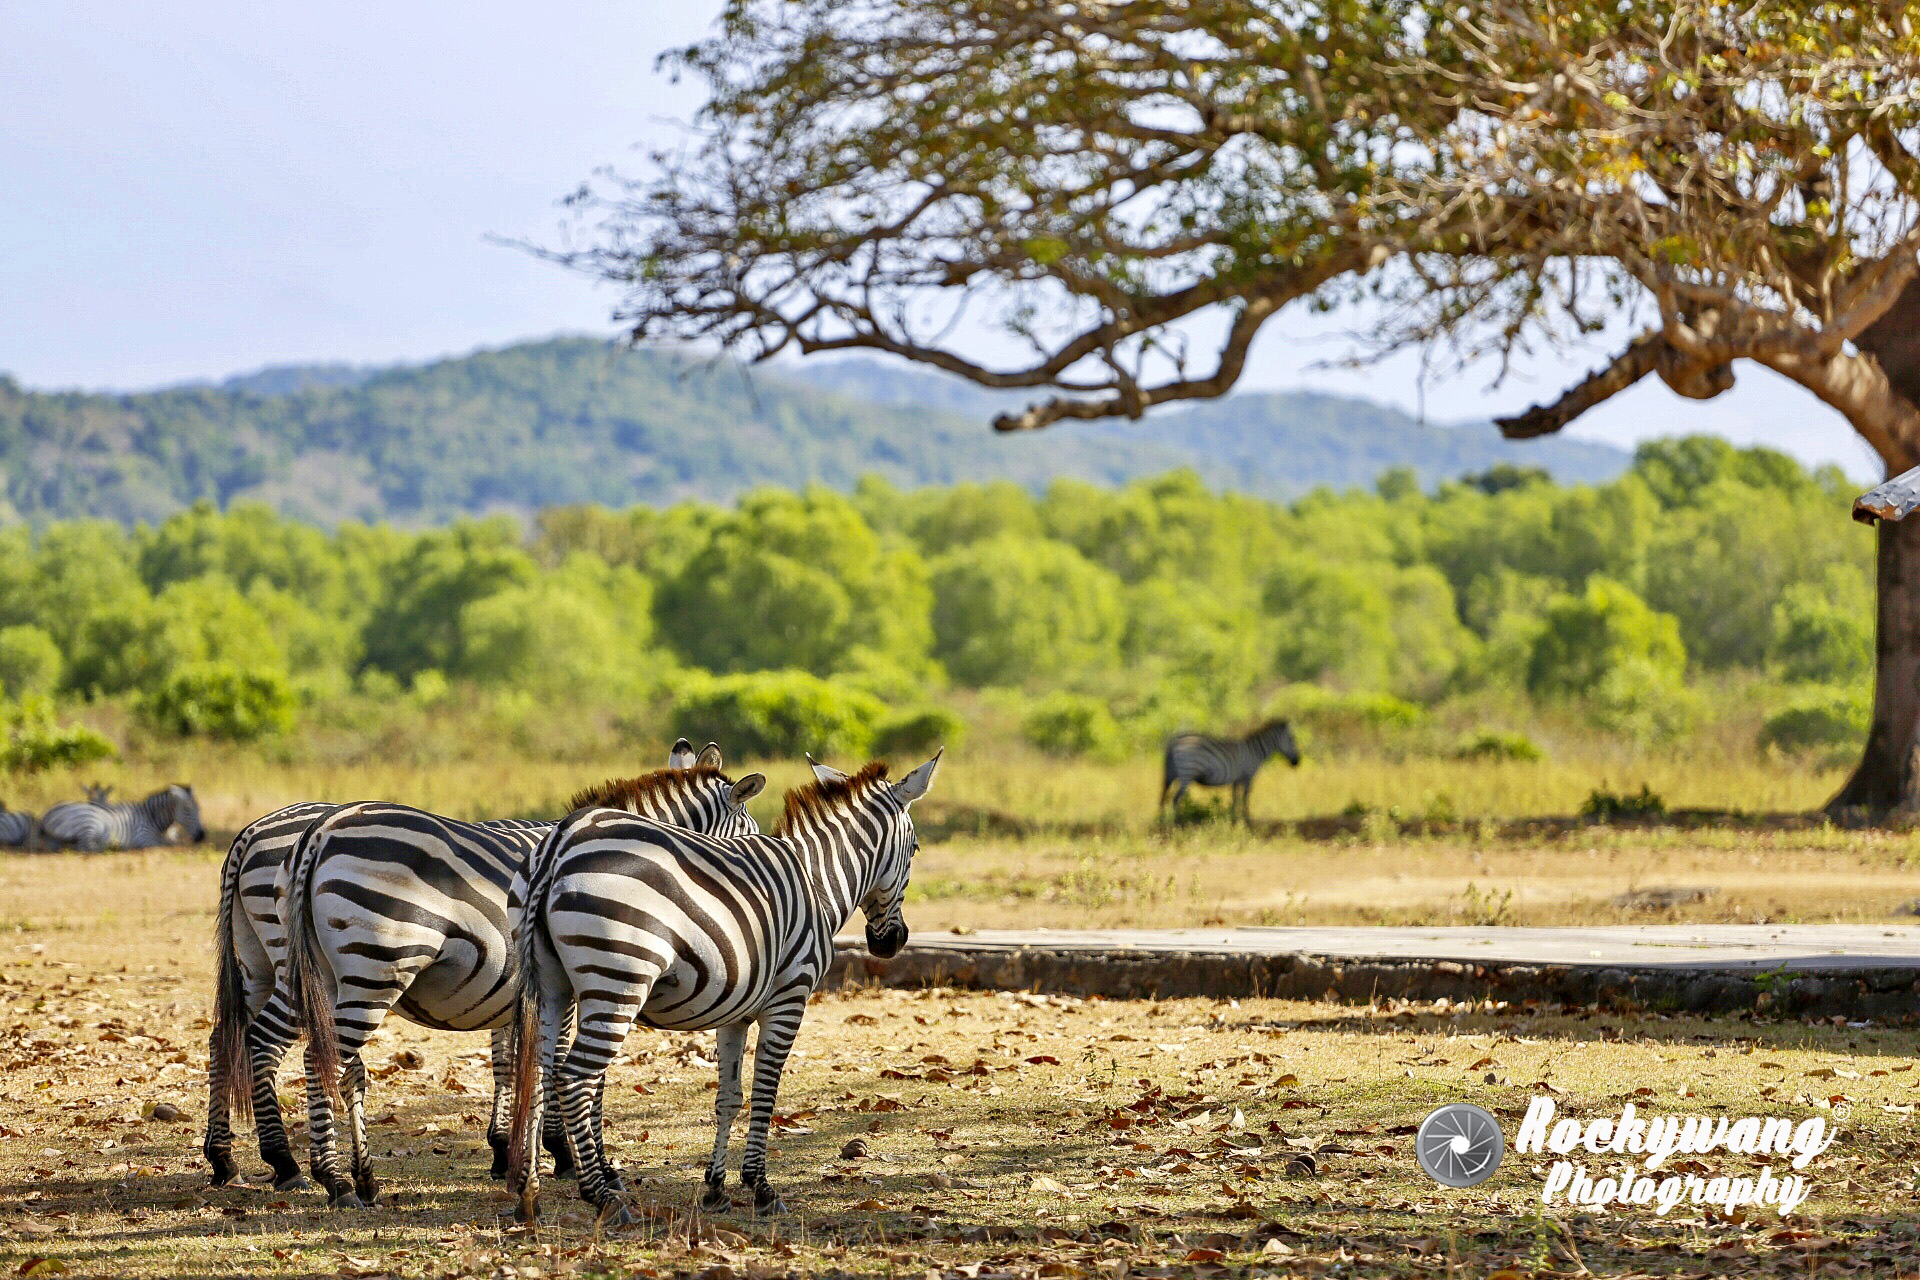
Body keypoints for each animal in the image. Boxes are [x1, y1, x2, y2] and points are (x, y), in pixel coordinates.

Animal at [38, 782, 204, 852]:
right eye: (188, 810)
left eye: (200, 809)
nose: (201, 836)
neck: (152, 818)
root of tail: (48, 814)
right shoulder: (144, 838)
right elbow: (166, 844)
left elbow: (174, 841)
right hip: (89, 824)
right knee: (86, 847)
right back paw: (114, 845)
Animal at [503, 752, 936, 1228]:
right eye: (915, 849)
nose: (891, 943)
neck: (816, 881)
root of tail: (560, 842)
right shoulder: (789, 998)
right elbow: (765, 1091)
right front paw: (760, 1187)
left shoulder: (736, 1012)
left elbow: (729, 1098)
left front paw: (715, 1189)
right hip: (617, 979)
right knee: (577, 1078)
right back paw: (603, 1198)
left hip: (552, 986)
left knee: (538, 1075)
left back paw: (528, 1194)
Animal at [1152, 717, 1305, 825]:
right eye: (1293, 739)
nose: (1297, 762)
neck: (1255, 751)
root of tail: (1175, 741)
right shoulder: (1249, 776)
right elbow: (1245, 798)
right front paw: (1247, 820)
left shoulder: (1236, 780)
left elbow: (1235, 799)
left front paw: (1233, 820)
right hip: (1186, 774)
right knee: (1175, 799)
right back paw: (1178, 823)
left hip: (1171, 774)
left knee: (1163, 797)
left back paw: (1160, 823)